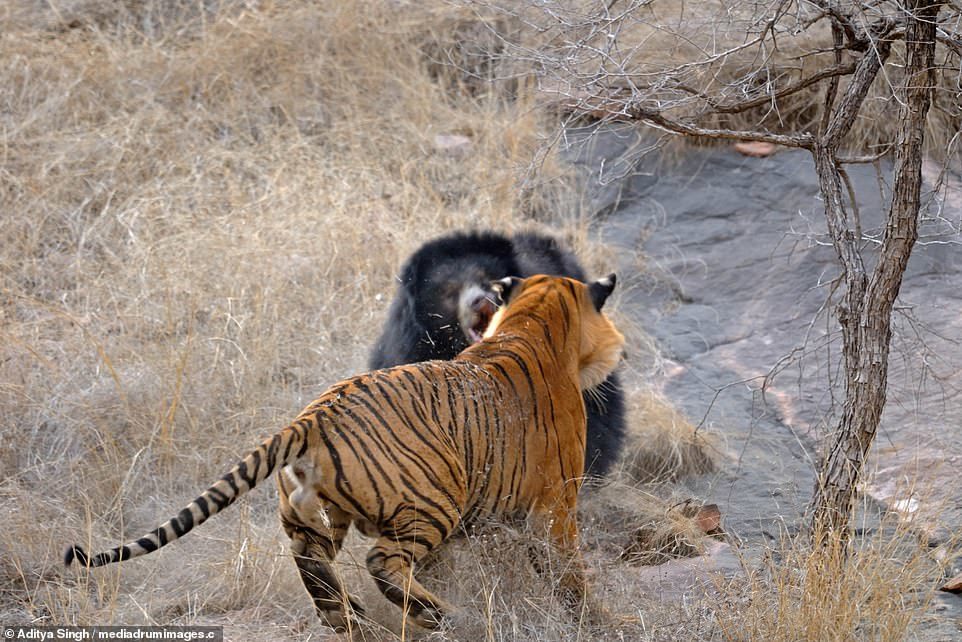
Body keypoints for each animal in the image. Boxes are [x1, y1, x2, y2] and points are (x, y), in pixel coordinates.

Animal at [65, 272, 624, 632]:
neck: (531, 321)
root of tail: (314, 415)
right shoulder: (556, 506)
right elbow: (569, 572)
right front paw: (598, 619)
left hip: (314, 516)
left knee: (312, 560)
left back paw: (350, 619)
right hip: (432, 501)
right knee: (383, 562)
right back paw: (435, 616)